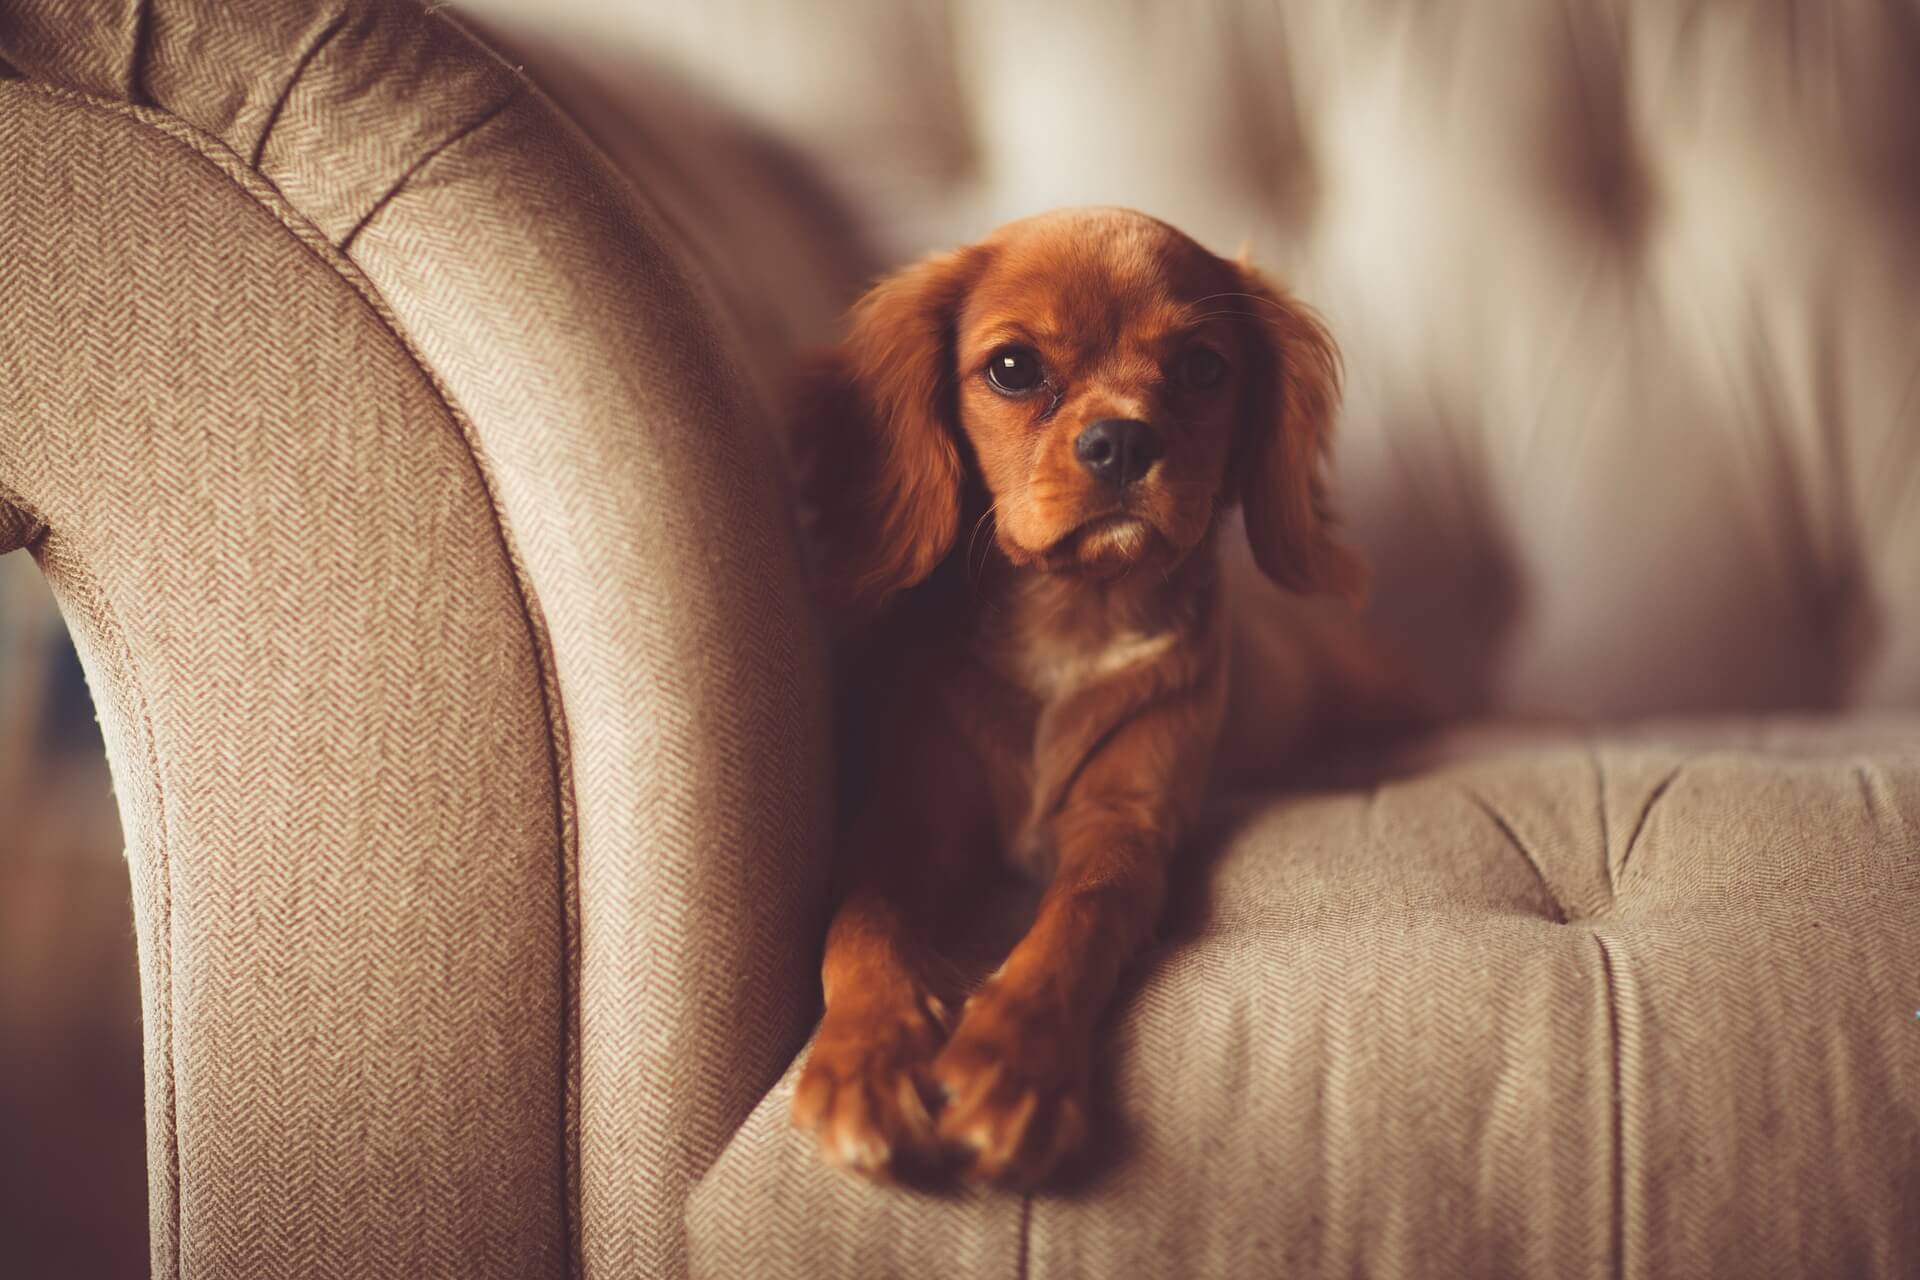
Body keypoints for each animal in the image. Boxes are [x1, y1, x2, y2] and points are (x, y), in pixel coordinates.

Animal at [787, 205, 1390, 1189]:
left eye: (1202, 368)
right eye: (1012, 367)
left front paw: (1010, 1064)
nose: (1123, 440)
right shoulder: (904, 821)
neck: (1076, 614)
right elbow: (861, 922)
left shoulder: (1127, 822)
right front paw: (866, 1058)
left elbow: (1079, 916)